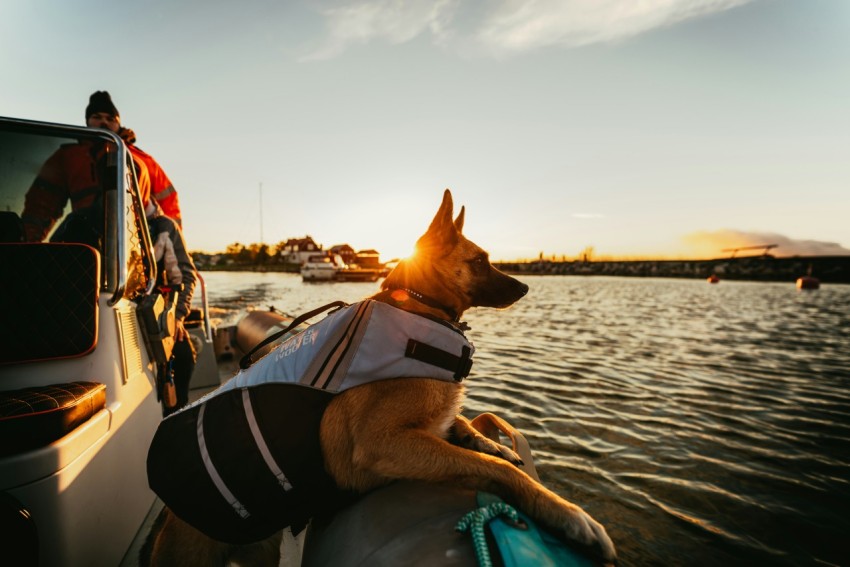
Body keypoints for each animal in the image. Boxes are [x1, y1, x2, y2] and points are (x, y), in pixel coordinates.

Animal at [142, 192, 612, 567]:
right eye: (479, 261)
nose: (526, 287)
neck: (418, 305)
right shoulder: (381, 443)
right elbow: (491, 468)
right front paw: (569, 515)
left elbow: (464, 426)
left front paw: (491, 441)